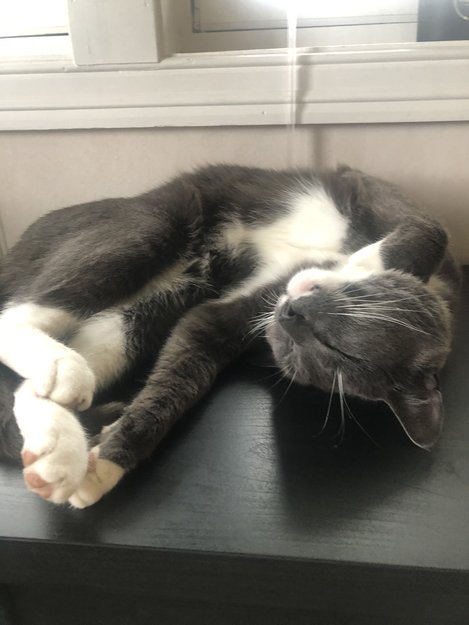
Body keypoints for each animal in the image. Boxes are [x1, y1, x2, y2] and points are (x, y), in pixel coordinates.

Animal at [0, 164, 460, 508]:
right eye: (338, 342)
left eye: (305, 356)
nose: (290, 315)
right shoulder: (371, 188)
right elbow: (432, 229)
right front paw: (368, 259)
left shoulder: (231, 315)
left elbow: (182, 374)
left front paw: (108, 464)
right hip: (150, 223)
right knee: (17, 316)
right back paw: (61, 371)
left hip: (156, 305)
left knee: (33, 382)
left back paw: (56, 453)